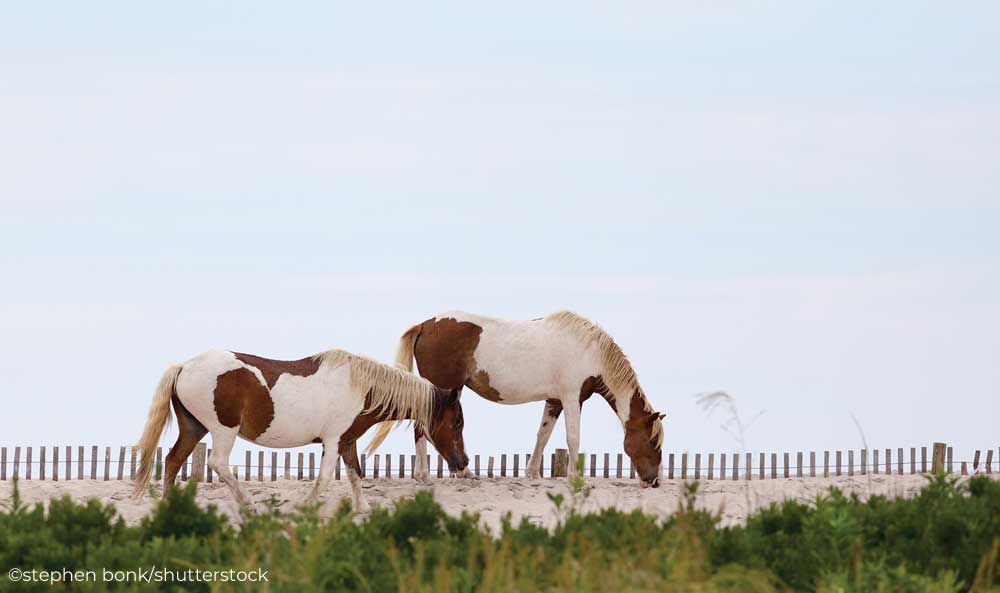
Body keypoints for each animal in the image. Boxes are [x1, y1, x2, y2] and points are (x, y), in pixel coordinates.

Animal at [132, 346, 468, 508]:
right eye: (458, 421)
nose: (462, 462)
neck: (360, 386)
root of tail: (184, 366)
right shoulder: (332, 443)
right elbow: (323, 481)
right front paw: (303, 508)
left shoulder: (347, 442)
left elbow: (355, 476)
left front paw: (363, 510)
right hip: (222, 431)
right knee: (217, 463)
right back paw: (248, 503)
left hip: (194, 429)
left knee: (173, 460)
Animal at [378, 310, 668, 486]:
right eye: (653, 442)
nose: (653, 481)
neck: (589, 353)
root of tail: (426, 325)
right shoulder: (572, 398)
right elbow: (573, 437)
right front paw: (575, 477)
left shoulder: (555, 401)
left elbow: (543, 435)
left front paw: (532, 473)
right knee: (422, 428)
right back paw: (426, 475)